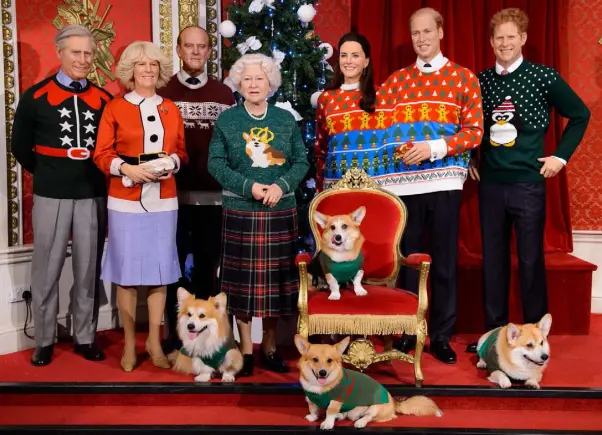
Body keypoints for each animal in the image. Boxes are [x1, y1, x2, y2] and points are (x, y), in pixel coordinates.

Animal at [292, 336, 438, 430]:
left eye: (329, 360)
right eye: (315, 359)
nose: (322, 373)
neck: (319, 386)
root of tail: (394, 402)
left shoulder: (336, 401)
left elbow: (330, 411)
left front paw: (327, 423)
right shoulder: (311, 399)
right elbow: (314, 409)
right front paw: (313, 417)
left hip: (375, 406)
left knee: (369, 417)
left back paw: (360, 422)